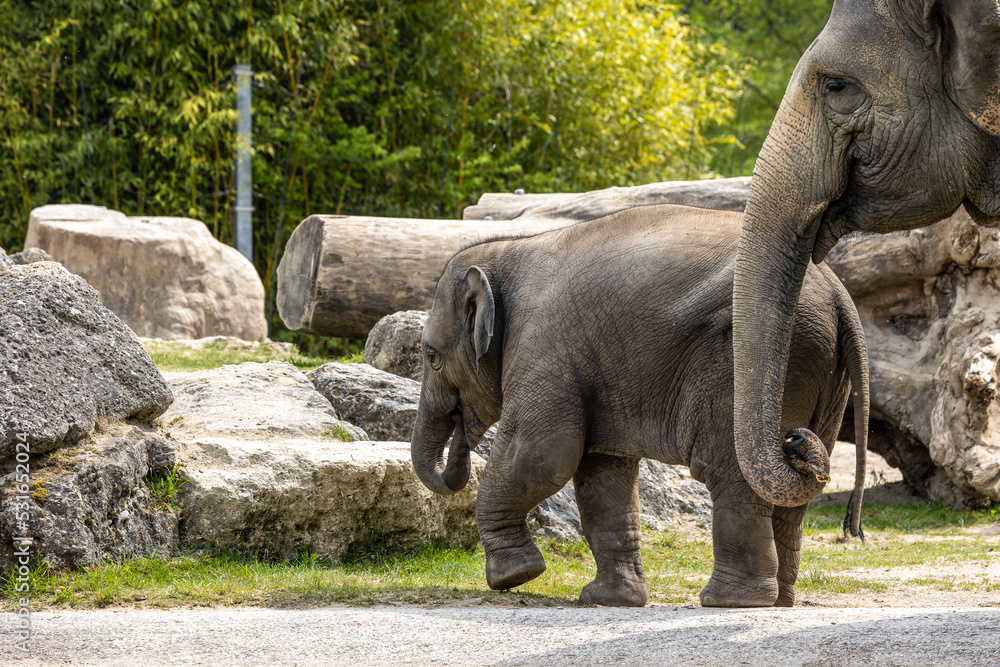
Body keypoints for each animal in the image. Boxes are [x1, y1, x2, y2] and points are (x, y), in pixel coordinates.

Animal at [411, 204, 869, 607]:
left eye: (431, 356)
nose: (460, 447)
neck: (507, 251)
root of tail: (839, 296)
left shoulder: (543, 347)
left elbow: (540, 455)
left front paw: (513, 577)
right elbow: (601, 474)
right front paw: (607, 600)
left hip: (756, 366)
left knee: (734, 471)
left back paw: (728, 601)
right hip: (825, 377)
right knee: (791, 491)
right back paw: (779, 602)